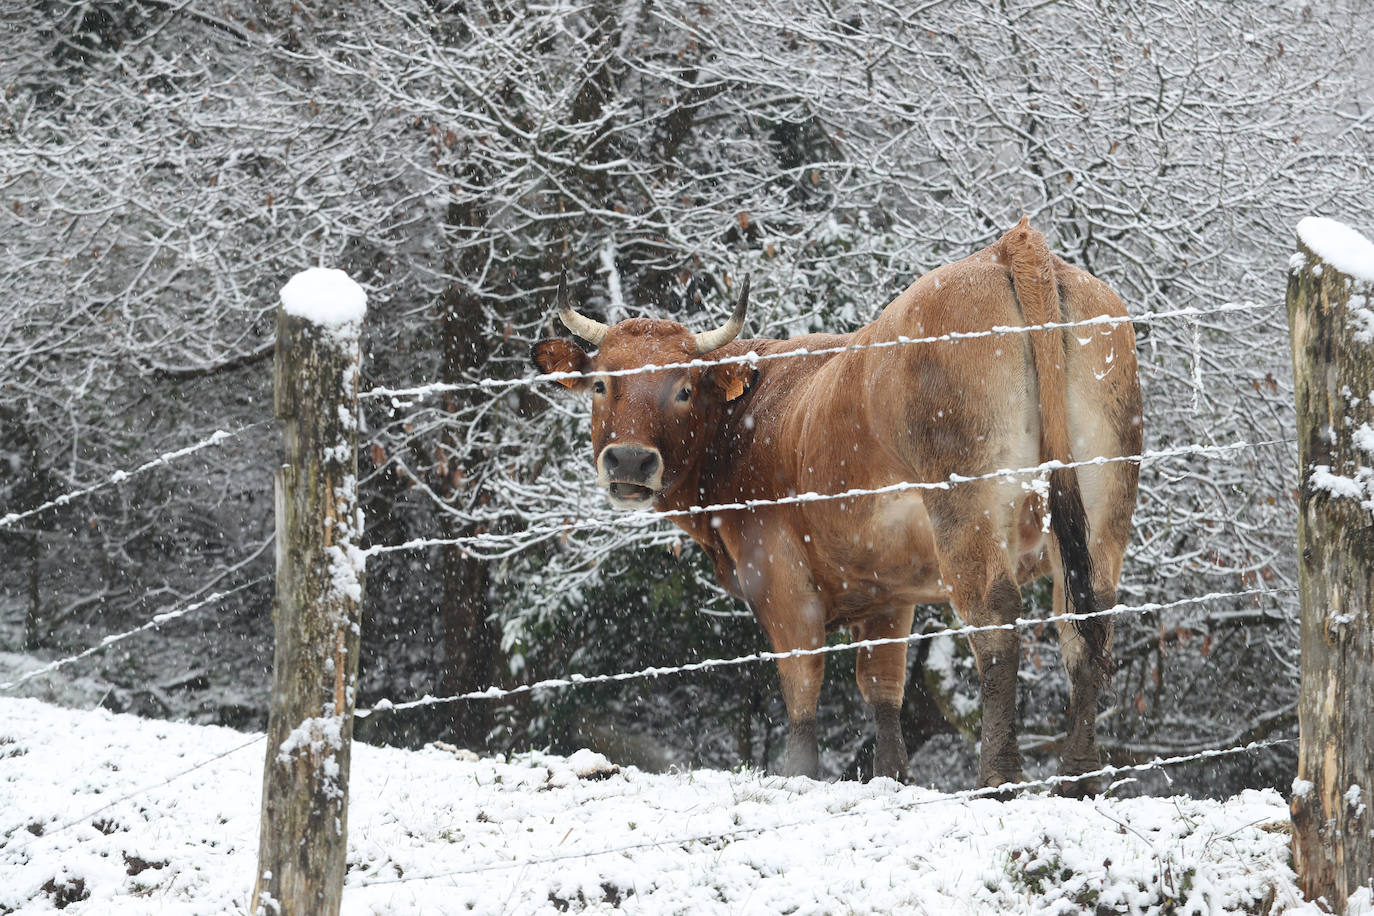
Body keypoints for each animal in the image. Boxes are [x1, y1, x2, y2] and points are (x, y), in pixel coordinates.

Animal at [530, 219, 1143, 791]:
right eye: (602, 385)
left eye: (682, 388)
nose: (630, 461)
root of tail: (1010, 247)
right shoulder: (886, 596)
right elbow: (883, 694)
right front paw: (893, 778)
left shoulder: (781, 583)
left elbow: (802, 690)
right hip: (1102, 505)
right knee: (1086, 618)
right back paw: (1080, 777)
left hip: (966, 503)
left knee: (995, 616)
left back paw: (999, 779)